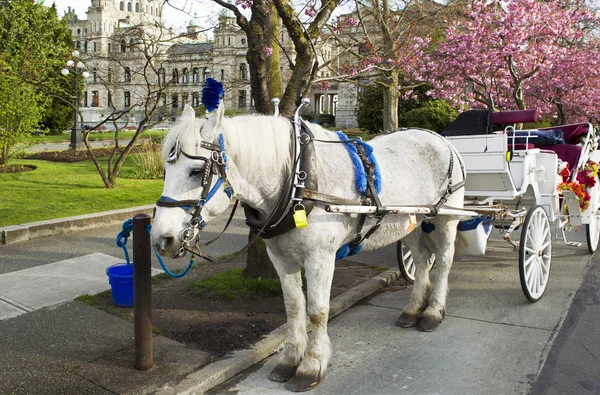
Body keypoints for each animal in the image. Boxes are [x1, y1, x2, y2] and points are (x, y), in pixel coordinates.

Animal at [150, 105, 464, 392]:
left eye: (196, 171)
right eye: (165, 170)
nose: (161, 240)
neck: (297, 183)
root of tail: (440, 139)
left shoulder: (320, 259)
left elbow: (317, 311)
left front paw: (312, 366)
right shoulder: (281, 259)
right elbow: (293, 307)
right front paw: (289, 360)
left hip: (446, 218)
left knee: (443, 261)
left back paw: (433, 312)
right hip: (411, 221)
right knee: (422, 262)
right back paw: (413, 310)